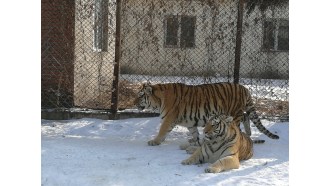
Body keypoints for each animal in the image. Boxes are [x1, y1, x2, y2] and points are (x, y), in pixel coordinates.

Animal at [134, 82, 278, 146]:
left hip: (234, 112)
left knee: (242, 119)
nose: (133, 102)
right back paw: (249, 132)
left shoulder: (169, 119)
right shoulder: (189, 121)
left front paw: (155, 141)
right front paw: (195, 140)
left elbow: (162, 130)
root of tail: (244, 88)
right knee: (246, 116)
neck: (158, 100)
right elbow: (194, 132)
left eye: (140, 96)